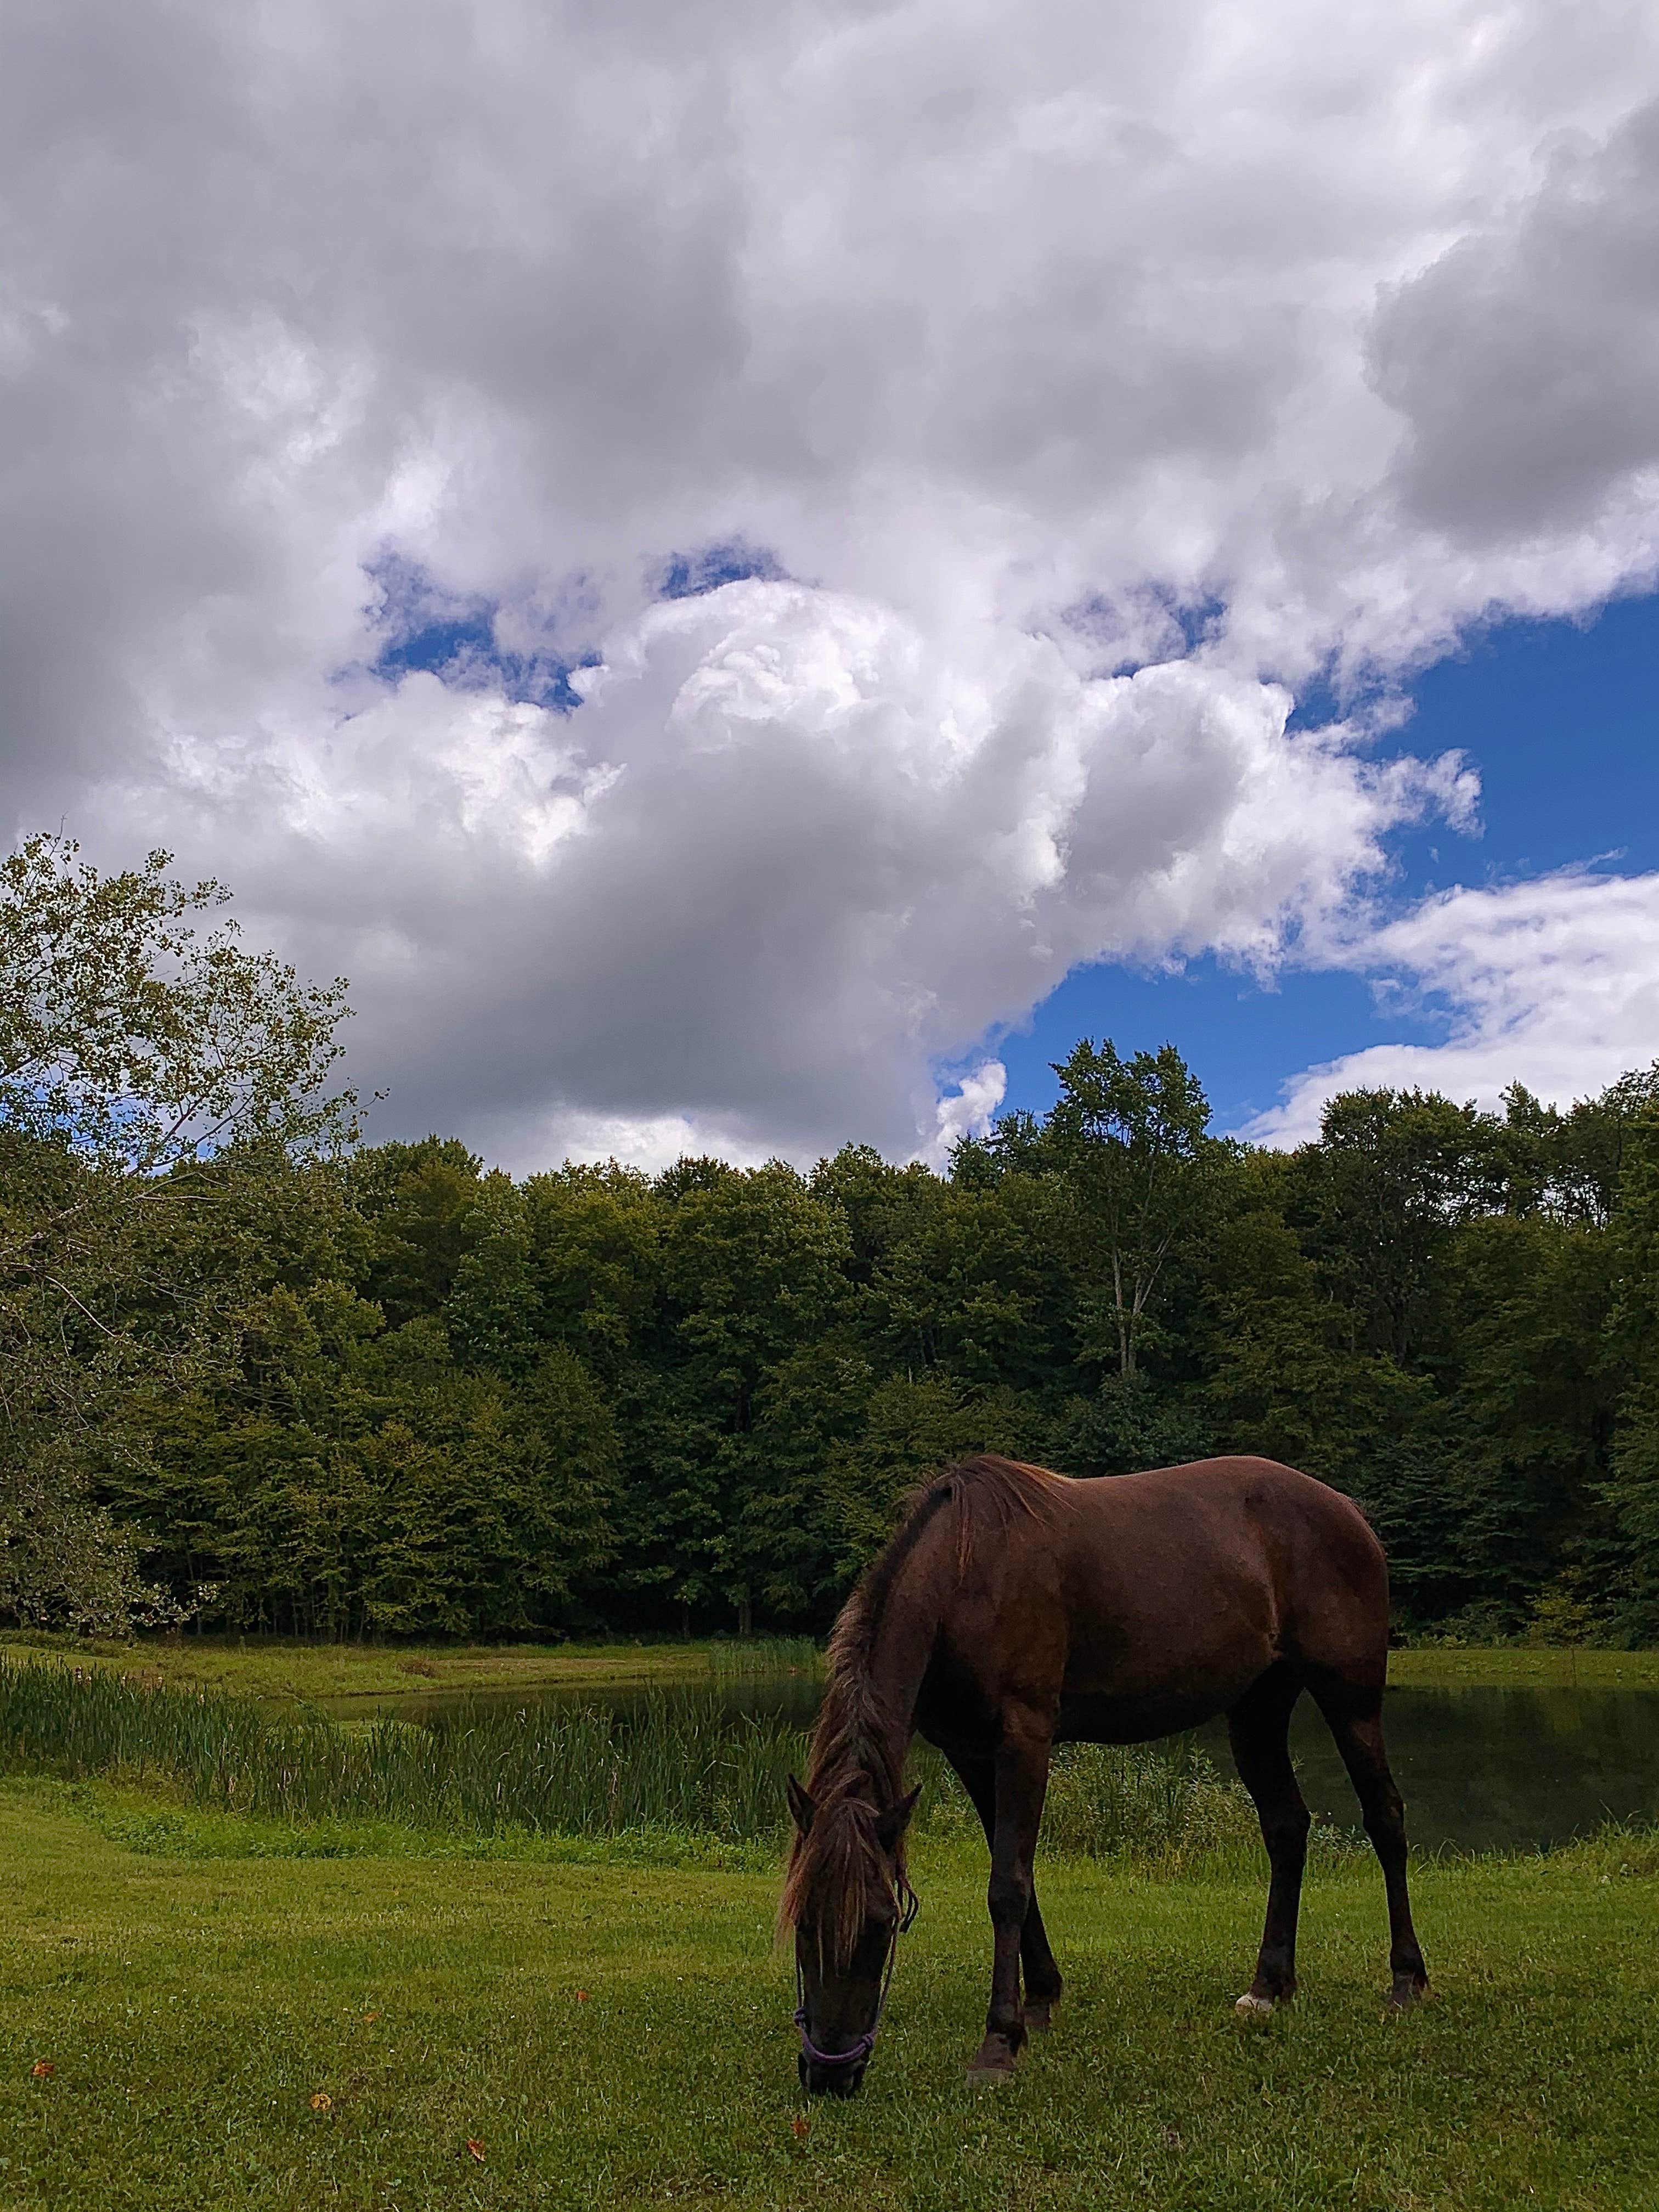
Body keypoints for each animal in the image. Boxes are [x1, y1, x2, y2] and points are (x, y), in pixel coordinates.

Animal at [780, 1453, 1429, 2096]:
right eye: (803, 1923)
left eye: (880, 1925)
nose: (829, 2075)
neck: (966, 1576)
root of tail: (1346, 1510)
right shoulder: (973, 1755)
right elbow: (1016, 1875)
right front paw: (1039, 2001)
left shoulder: (1025, 1738)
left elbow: (1008, 1886)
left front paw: (998, 2044)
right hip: (1257, 1709)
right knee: (1287, 1828)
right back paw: (1269, 1987)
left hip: (1350, 1699)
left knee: (1385, 1818)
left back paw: (1406, 1980)